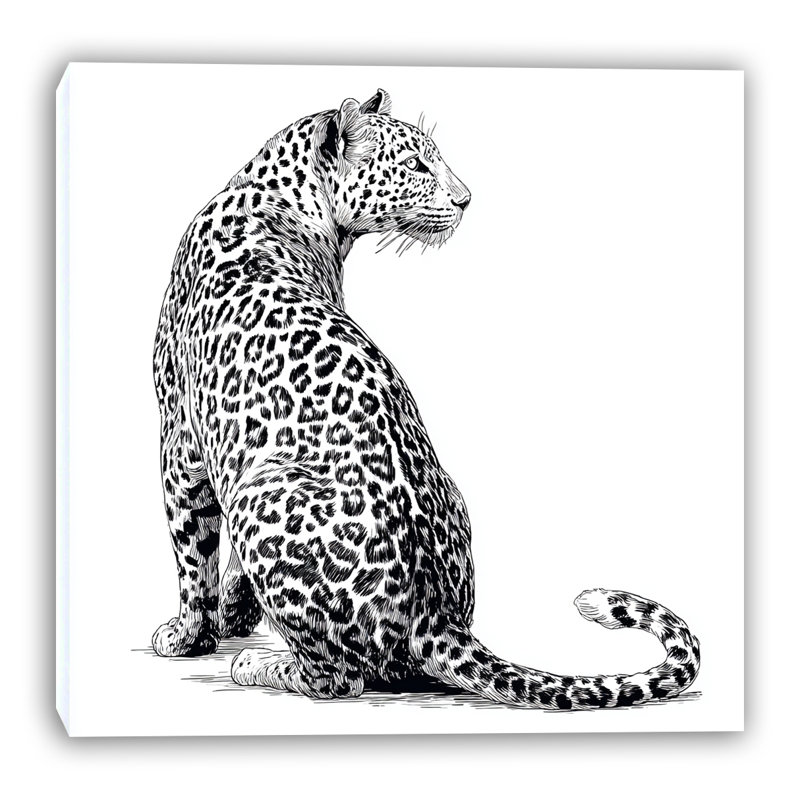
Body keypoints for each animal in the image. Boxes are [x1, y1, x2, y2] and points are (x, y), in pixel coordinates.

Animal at [152, 88, 700, 709]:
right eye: (416, 165)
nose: (466, 199)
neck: (274, 197)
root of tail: (436, 616)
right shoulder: (212, 448)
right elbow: (217, 563)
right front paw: (230, 616)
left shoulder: (181, 443)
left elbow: (192, 553)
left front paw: (188, 633)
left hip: (258, 492)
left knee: (338, 676)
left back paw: (259, 665)